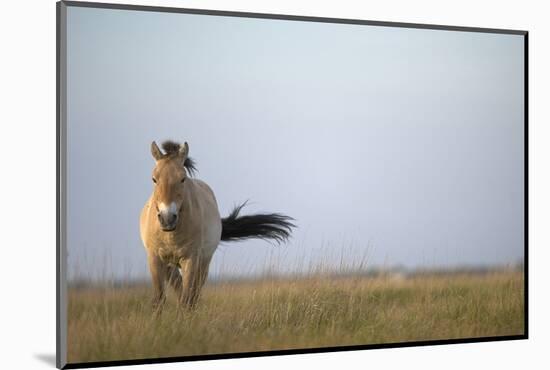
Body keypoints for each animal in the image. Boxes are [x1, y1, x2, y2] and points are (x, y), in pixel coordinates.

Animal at [141, 139, 298, 312]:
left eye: (182, 179)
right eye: (154, 179)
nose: (167, 218)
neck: (171, 235)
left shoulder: (191, 260)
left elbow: (187, 300)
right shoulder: (155, 259)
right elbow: (159, 300)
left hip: (203, 263)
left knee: (193, 295)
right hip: (170, 266)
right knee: (179, 289)